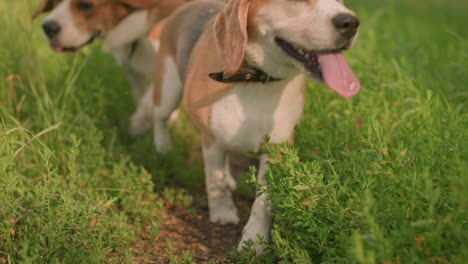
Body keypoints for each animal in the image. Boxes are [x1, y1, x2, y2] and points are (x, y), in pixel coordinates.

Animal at [132, 0, 362, 255]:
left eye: (341, 1)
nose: (350, 23)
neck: (257, 80)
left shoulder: (276, 149)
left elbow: (262, 202)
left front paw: (254, 241)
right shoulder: (211, 140)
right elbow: (215, 180)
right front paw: (222, 214)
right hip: (168, 91)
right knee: (159, 119)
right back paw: (162, 149)